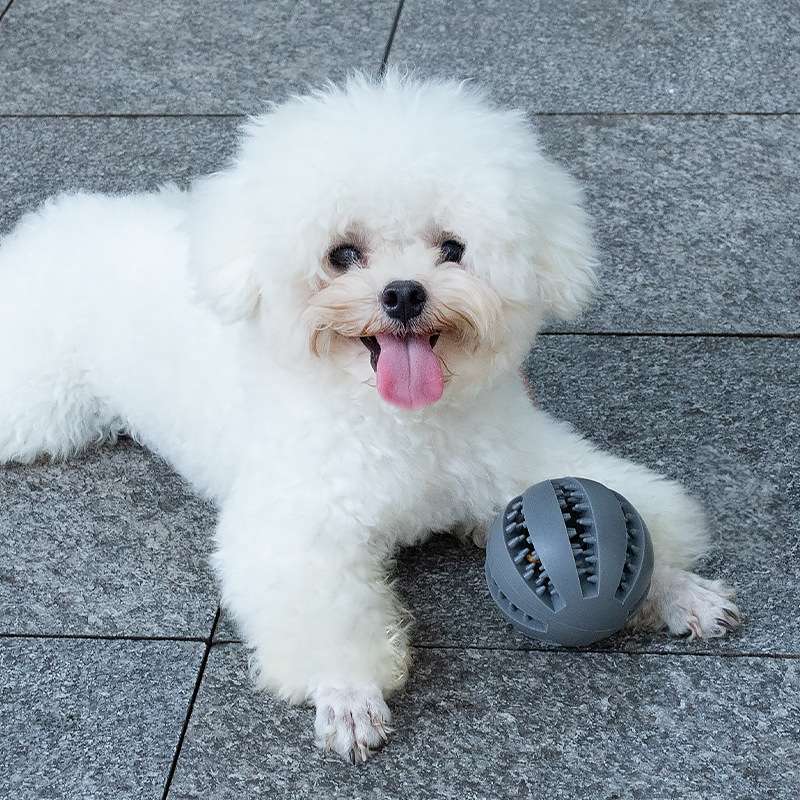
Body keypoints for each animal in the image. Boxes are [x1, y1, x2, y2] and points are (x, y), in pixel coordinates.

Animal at [0, 73, 740, 764]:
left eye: (453, 248)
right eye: (342, 255)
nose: (403, 293)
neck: (401, 420)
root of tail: (55, 220)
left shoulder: (513, 461)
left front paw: (676, 590)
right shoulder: (301, 523)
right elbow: (325, 613)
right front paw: (348, 695)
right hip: (40, 397)